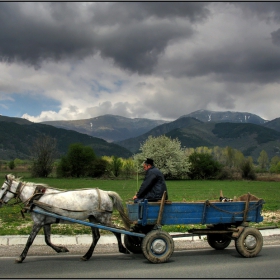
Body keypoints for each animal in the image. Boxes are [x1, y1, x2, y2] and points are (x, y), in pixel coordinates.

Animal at [0, 174, 131, 264]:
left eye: (2, 188)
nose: (0, 202)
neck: (36, 197)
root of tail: (105, 193)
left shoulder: (37, 222)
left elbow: (29, 241)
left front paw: (20, 257)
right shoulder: (45, 223)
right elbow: (47, 240)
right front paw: (61, 249)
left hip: (103, 219)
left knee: (117, 231)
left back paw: (123, 249)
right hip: (93, 219)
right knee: (96, 237)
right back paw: (86, 256)